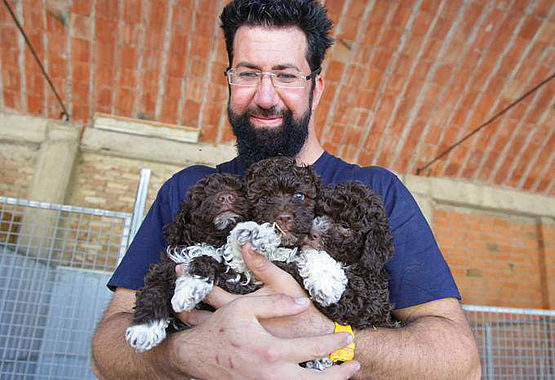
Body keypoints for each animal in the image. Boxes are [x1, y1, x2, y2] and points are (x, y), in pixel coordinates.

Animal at [126, 172, 250, 350]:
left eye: (238, 189)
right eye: (203, 195)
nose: (226, 196)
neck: (215, 239)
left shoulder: (239, 278)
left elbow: (208, 257)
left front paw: (187, 291)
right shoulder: (167, 264)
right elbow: (154, 288)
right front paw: (144, 329)